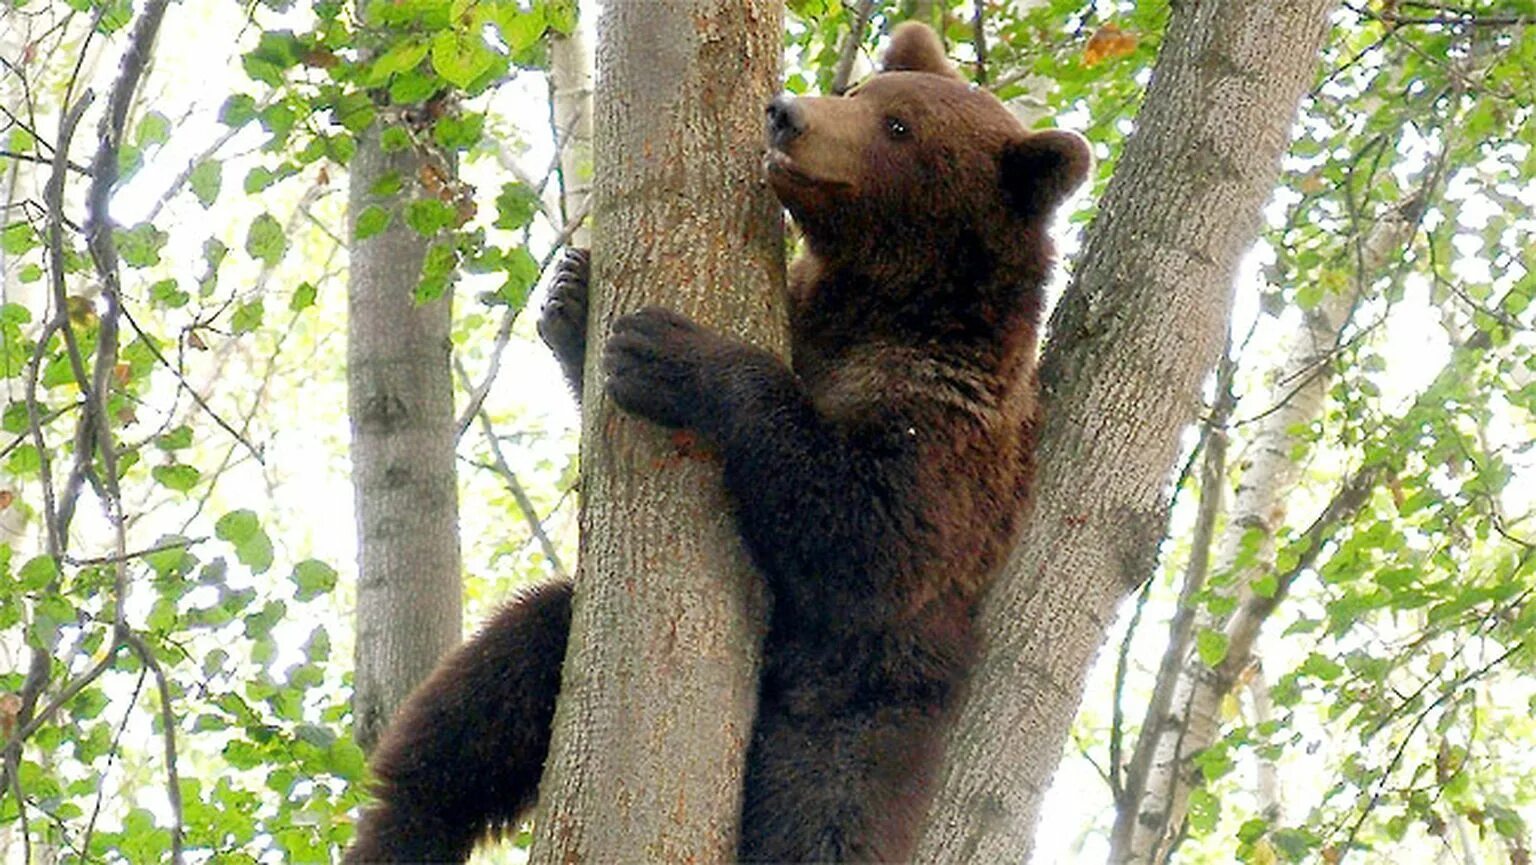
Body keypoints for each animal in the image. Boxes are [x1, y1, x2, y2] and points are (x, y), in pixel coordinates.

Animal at [348, 21, 1093, 865]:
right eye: (864, 91)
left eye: (900, 127)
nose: (788, 113)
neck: (885, 303)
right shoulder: (814, 317)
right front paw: (576, 298)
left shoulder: (946, 421)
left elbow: (871, 537)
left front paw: (669, 351)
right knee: (496, 686)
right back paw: (406, 825)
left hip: (863, 708)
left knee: (821, 822)